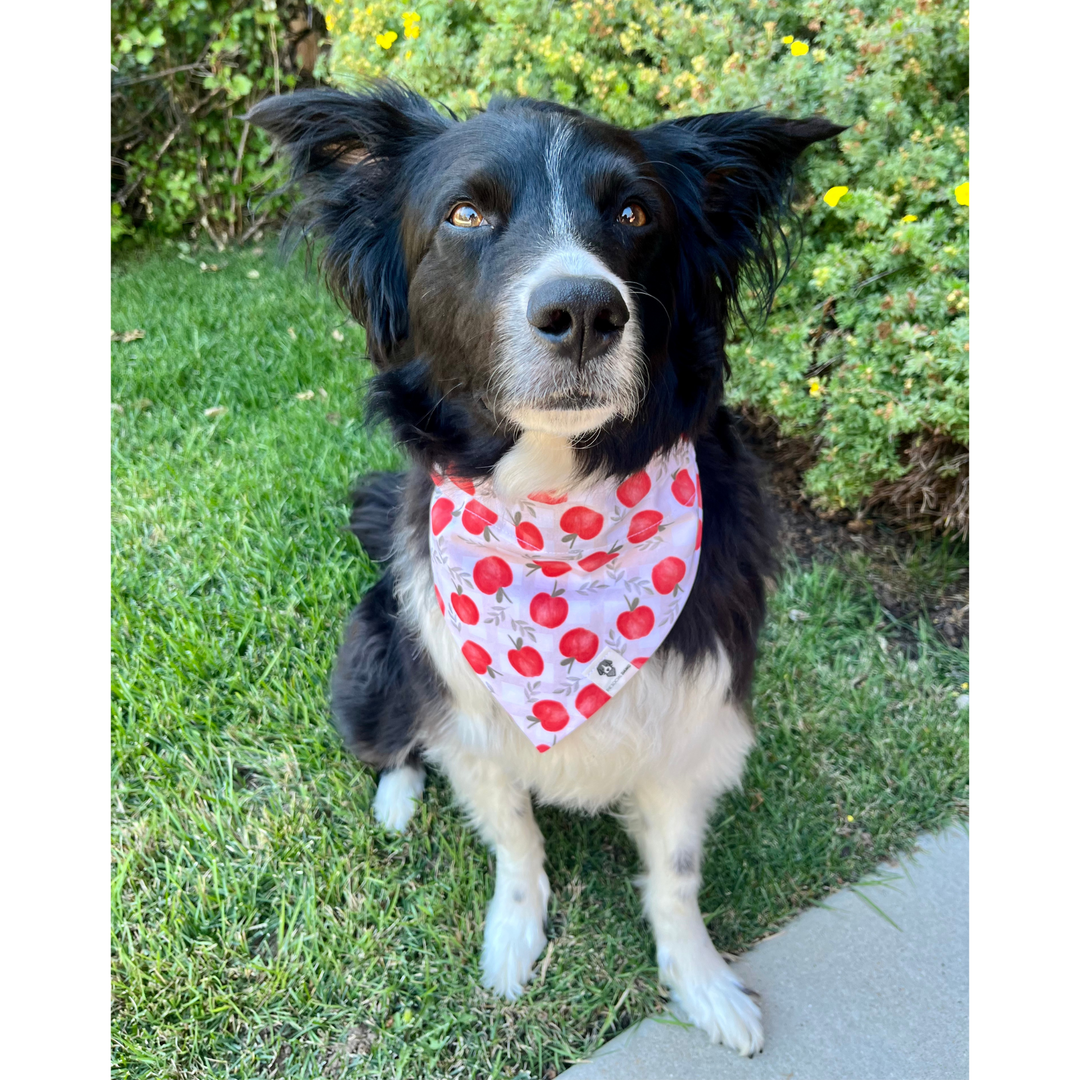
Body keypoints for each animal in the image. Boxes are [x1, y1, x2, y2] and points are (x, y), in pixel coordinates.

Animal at [248, 82, 838, 1054]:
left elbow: (676, 875)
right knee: (394, 743)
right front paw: (514, 941)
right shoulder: (472, 713)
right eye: (466, 214)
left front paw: (703, 983)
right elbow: (517, 844)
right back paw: (398, 799)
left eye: (635, 214)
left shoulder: (693, 724)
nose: (586, 312)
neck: (562, 517)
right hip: (378, 660)